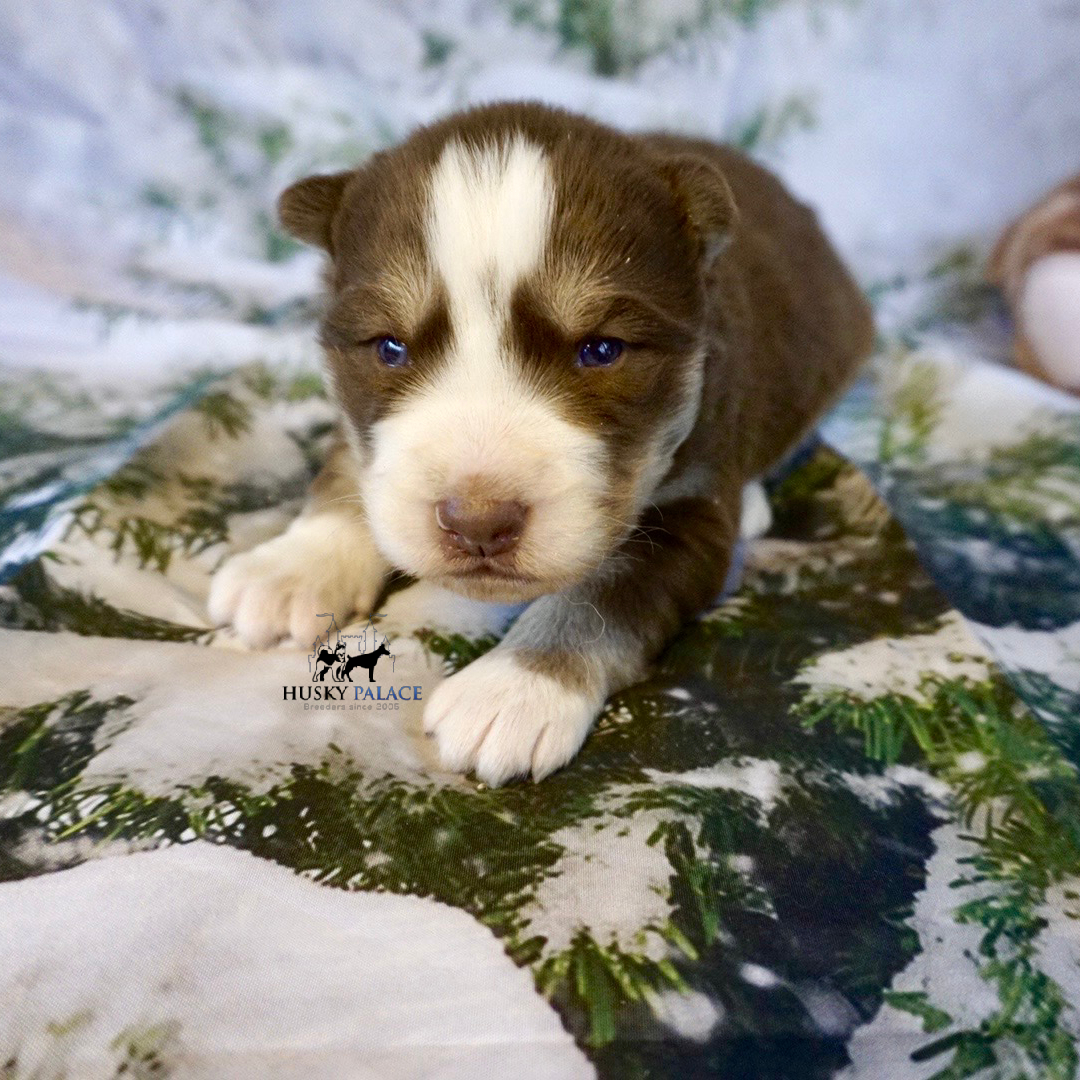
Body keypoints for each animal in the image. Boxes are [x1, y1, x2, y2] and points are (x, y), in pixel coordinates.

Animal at [206, 103, 872, 786]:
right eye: (390, 348)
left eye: (601, 350)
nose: (477, 524)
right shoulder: (360, 427)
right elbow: (348, 469)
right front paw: (290, 567)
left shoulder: (696, 500)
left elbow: (603, 592)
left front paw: (513, 690)